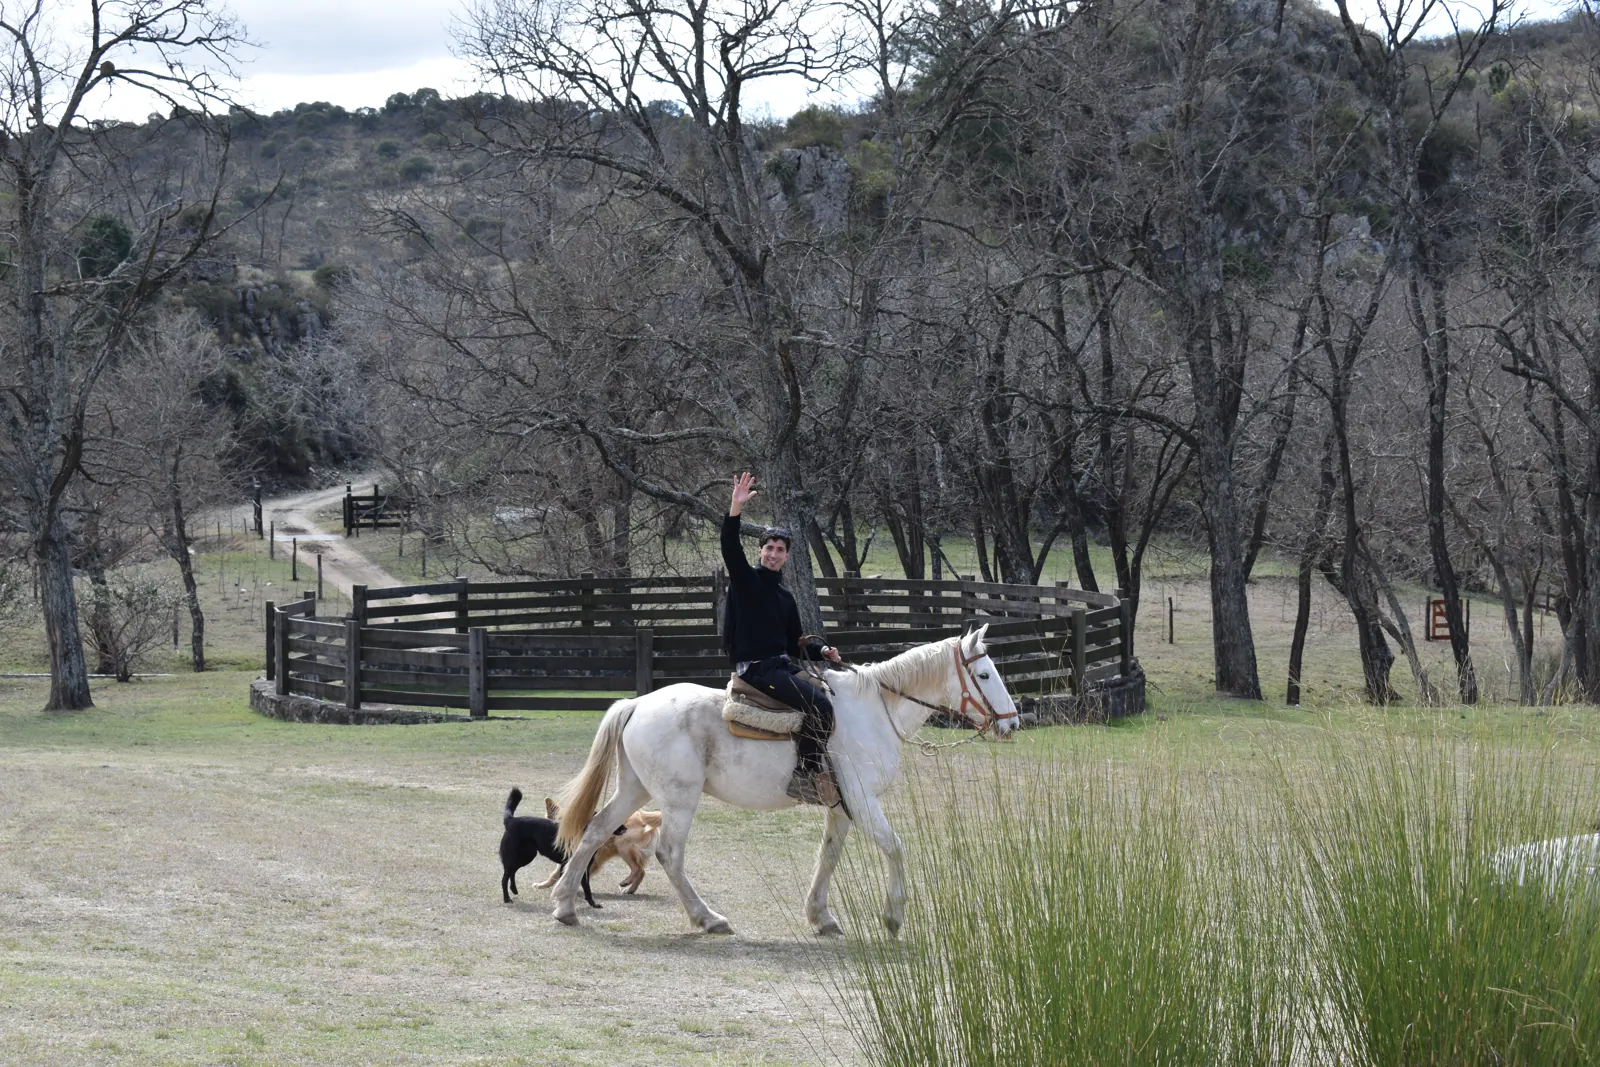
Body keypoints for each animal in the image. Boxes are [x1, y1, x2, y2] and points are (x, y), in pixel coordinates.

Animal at [548, 624, 1020, 935]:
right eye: (983, 675)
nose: (1012, 723)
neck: (873, 711)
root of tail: (637, 703)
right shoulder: (863, 801)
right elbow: (895, 848)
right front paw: (893, 916)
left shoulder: (841, 807)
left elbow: (828, 856)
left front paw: (821, 916)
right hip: (679, 799)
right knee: (669, 854)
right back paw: (707, 918)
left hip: (635, 789)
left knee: (595, 830)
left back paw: (566, 907)